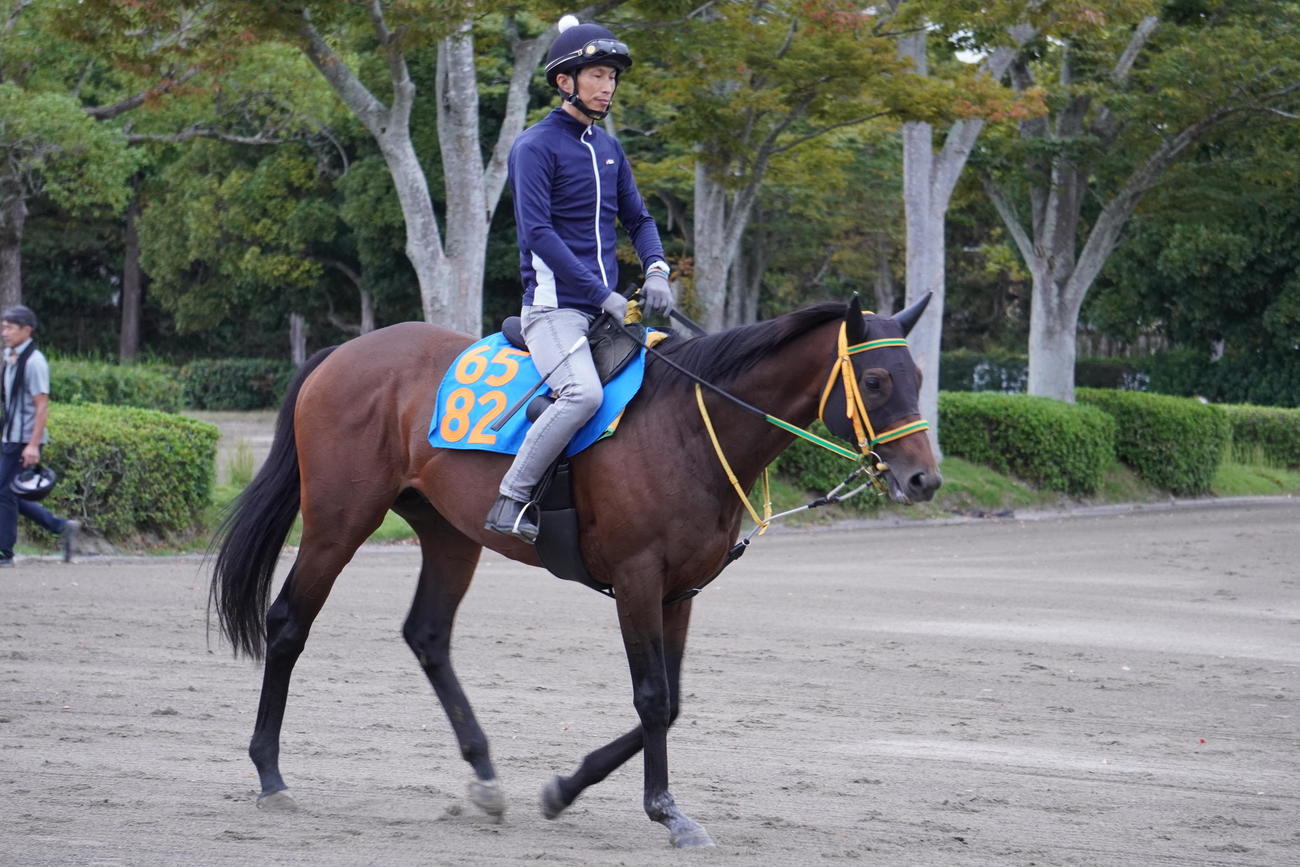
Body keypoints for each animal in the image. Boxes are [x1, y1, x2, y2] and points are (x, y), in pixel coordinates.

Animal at [210, 295, 941, 849]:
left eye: (918, 377)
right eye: (876, 382)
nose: (924, 478)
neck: (687, 424)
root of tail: (343, 353)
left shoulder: (681, 590)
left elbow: (672, 702)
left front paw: (565, 788)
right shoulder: (639, 581)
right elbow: (653, 698)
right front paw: (666, 810)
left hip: (448, 533)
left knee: (427, 635)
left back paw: (484, 775)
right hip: (339, 521)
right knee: (288, 623)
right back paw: (271, 774)